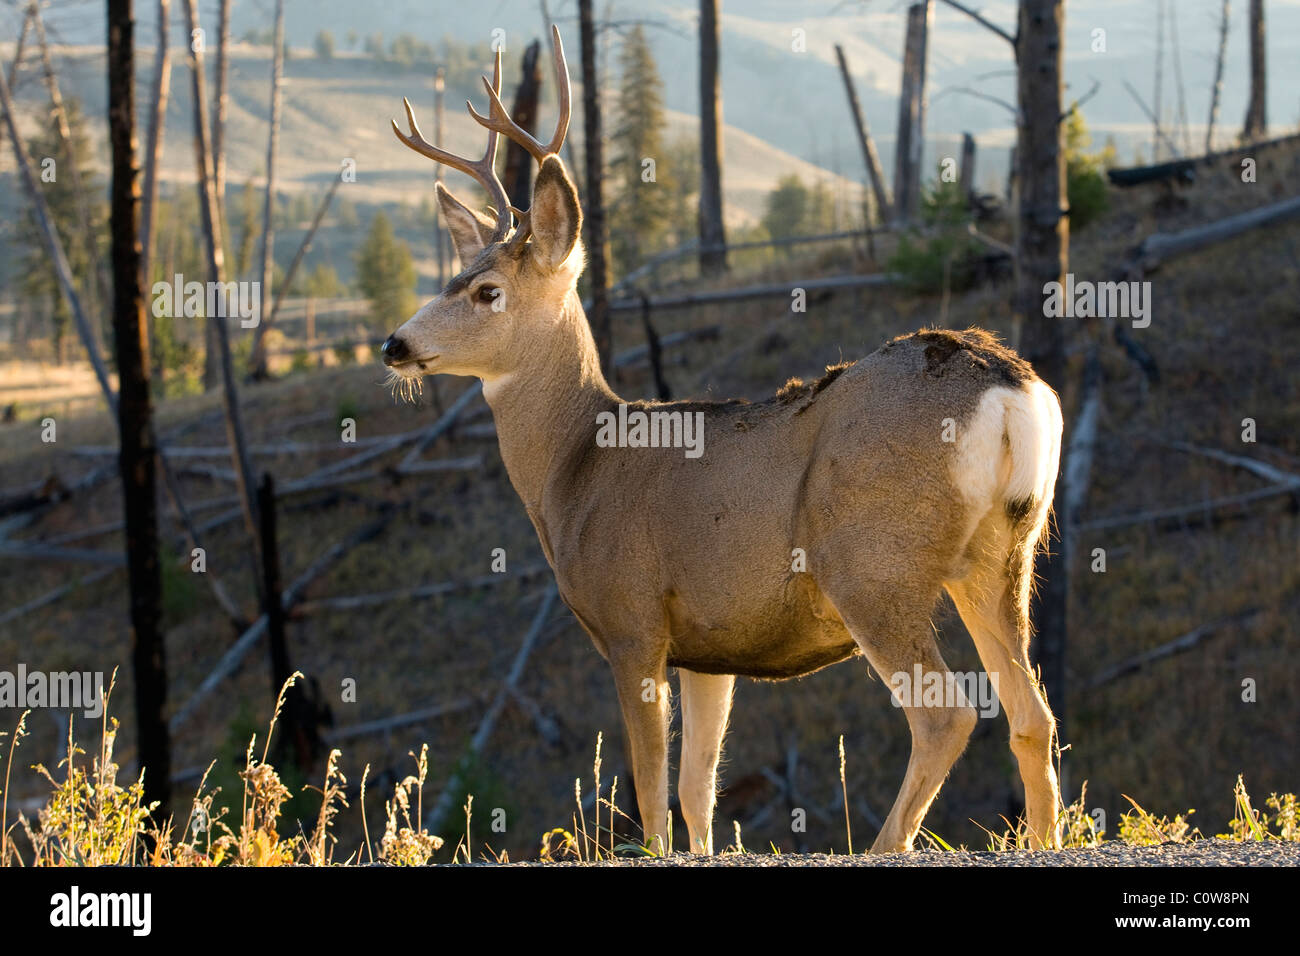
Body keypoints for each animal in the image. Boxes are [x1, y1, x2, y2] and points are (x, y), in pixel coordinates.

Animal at [381, 27, 1064, 856]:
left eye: (488, 292)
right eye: (453, 276)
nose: (394, 344)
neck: (579, 468)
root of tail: (1008, 385)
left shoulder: (633, 618)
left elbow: (650, 793)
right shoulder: (711, 648)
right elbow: (697, 791)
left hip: (873, 560)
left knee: (948, 712)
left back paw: (884, 843)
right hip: (1004, 553)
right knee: (1032, 714)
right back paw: (1045, 837)